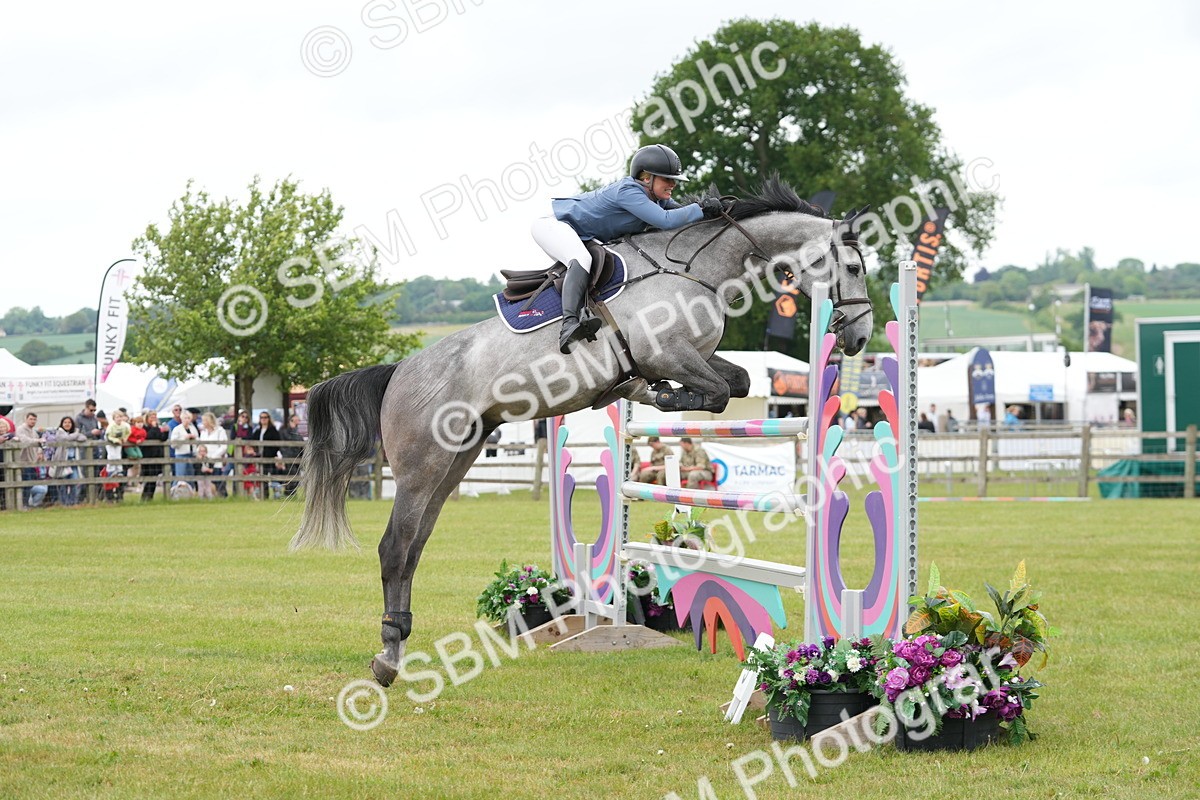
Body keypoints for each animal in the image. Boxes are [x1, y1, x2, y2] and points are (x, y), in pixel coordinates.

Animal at [289, 178, 873, 686]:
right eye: (852, 266)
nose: (861, 337)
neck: (696, 268)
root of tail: (398, 372)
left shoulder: (695, 357)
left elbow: (737, 382)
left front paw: (653, 394)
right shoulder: (671, 353)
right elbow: (714, 392)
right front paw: (655, 395)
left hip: (458, 457)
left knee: (414, 547)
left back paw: (400, 643)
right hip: (422, 464)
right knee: (395, 547)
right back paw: (388, 657)